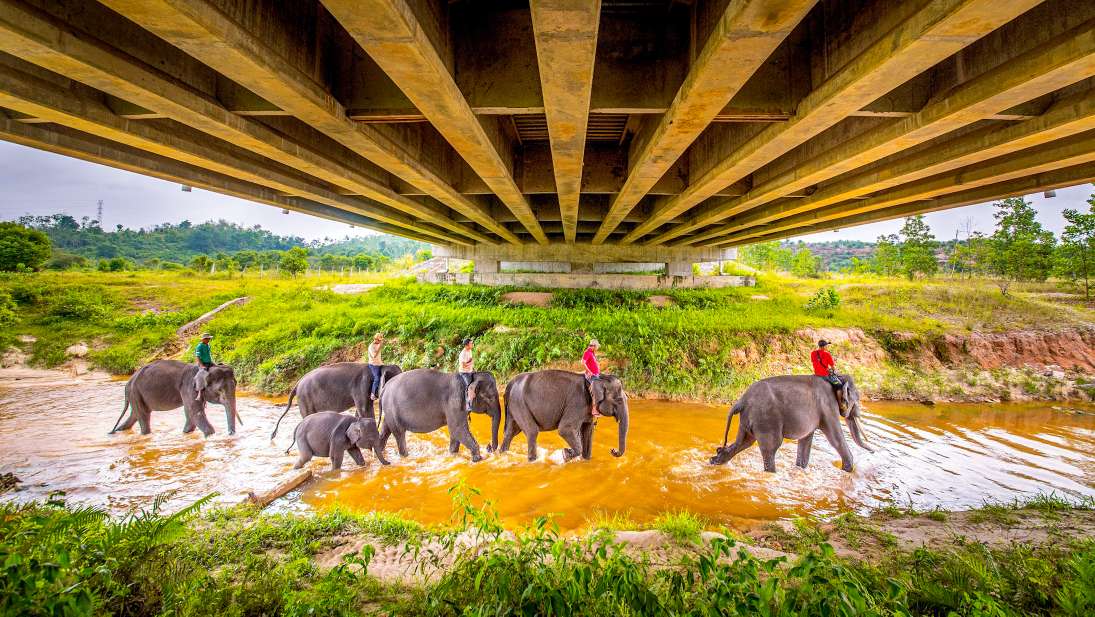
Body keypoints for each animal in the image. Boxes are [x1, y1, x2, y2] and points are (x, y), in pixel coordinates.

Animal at [110, 359, 238, 436]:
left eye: (236, 384)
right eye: (220, 390)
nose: (230, 434)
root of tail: (128, 382)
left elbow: (190, 414)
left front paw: (186, 433)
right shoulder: (189, 388)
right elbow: (195, 412)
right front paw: (211, 435)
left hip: (136, 395)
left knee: (135, 415)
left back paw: (118, 431)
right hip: (135, 392)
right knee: (143, 415)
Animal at [270, 361, 402, 438]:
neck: (380, 367)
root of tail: (296, 385)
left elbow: (360, 412)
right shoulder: (362, 386)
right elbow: (365, 411)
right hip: (305, 398)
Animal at [501, 370, 630, 460]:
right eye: (619, 400)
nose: (613, 450)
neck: (595, 378)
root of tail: (510, 384)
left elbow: (588, 431)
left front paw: (584, 459)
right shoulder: (577, 404)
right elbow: (565, 429)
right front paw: (566, 454)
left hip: (514, 407)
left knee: (510, 432)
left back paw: (503, 453)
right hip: (519, 404)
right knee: (532, 431)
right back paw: (532, 460)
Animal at [709, 372, 871, 473]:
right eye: (856, 399)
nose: (873, 452)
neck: (836, 377)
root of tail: (741, 401)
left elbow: (806, 440)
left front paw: (801, 468)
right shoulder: (828, 408)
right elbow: (835, 439)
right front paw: (848, 471)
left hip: (748, 419)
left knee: (743, 442)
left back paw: (714, 460)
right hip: (766, 419)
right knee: (771, 448)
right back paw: (772, 473)